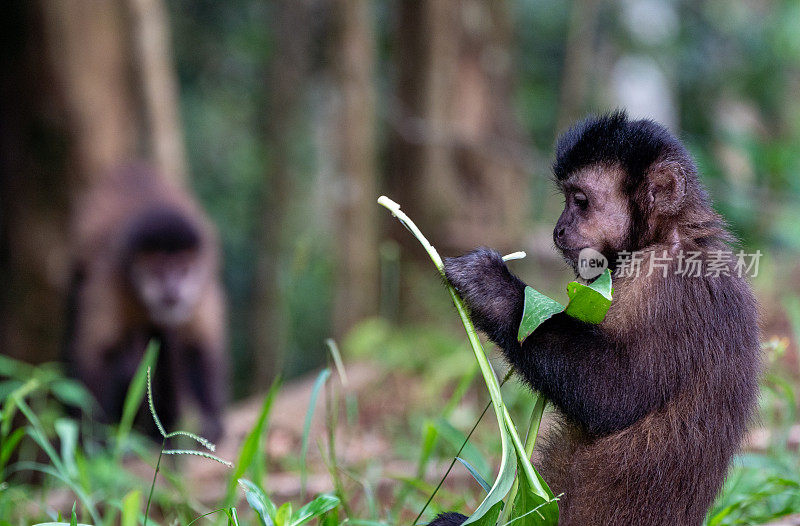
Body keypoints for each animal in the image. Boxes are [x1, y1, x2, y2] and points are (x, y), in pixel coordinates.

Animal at [63, 164, 227, 442]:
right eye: (158, 271)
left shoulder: (202, 288)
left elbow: (201, 346)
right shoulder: (110, 282)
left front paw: (211, 422)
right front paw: (95, 435)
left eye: (184, 270)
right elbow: (96, 355)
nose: (172, 290)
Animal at [432, 112, 764, 526]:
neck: (666, 237)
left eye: (580, 201)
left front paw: (492, 288)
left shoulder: (669, 289)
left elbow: (611, 395)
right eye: (566, 200)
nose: (557, 229)